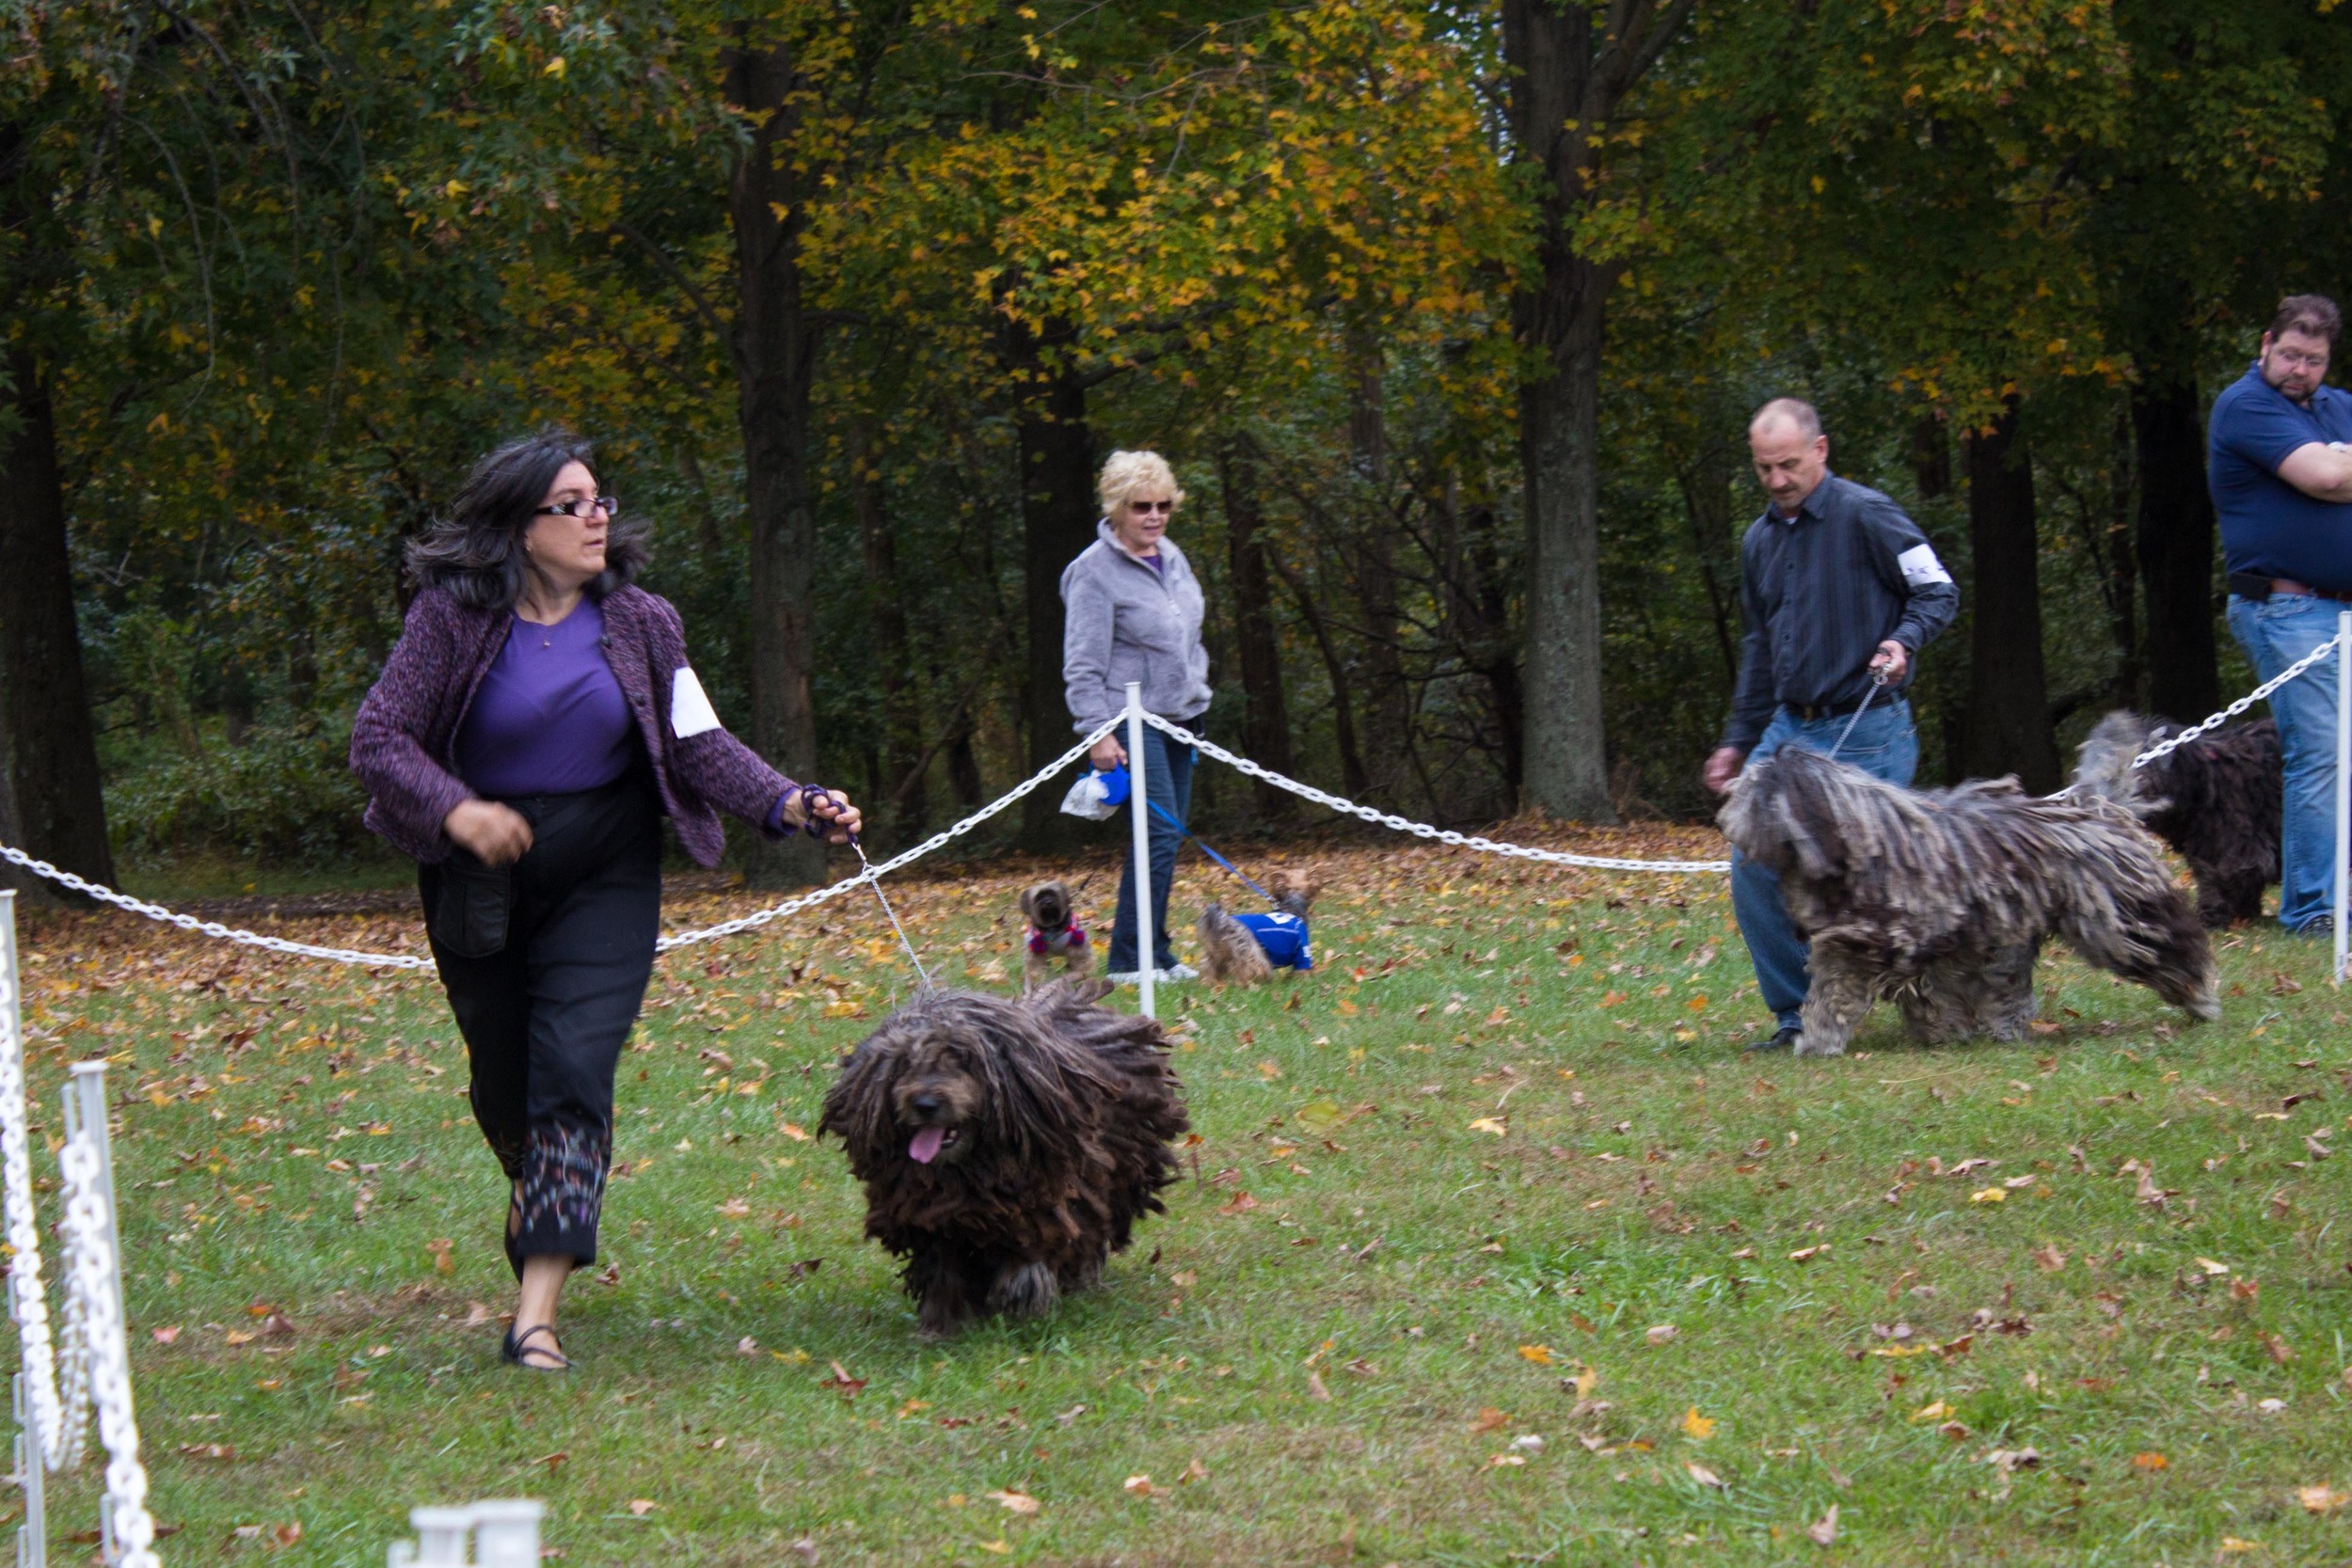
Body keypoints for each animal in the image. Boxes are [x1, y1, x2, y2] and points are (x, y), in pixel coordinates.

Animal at [828, 982, 1195, 1335]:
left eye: (962, 1060)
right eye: (905, 1063)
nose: (925, 1103)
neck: (968, 1171)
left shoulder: (1045, 1207)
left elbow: (1030, 1257)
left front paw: (1021, 1306)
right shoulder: (932, 1218)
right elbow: (942, 1272)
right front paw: (940, 1325)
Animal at [1195, 869, 1327, 982]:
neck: (1292, 903)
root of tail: (1226, 923)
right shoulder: (1302, 950)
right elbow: (1303, 969)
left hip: (1217, 952)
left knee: (1209, 965)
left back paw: (1210, 983)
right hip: (1252, 952)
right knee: (1251, 969)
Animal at [1722, 747, 2211, 1062]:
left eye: (1752, 790)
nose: (1724, 807)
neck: (1862, 836)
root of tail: (2099, 810)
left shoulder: (1862, 944)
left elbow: (1834, 993)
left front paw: (1816, 1042)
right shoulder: (1948, 943)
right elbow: (1934, 992)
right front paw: (1946, 1031)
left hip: (2116, 913)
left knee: (2166, 942)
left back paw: (2200, 997)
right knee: (2008, 984)